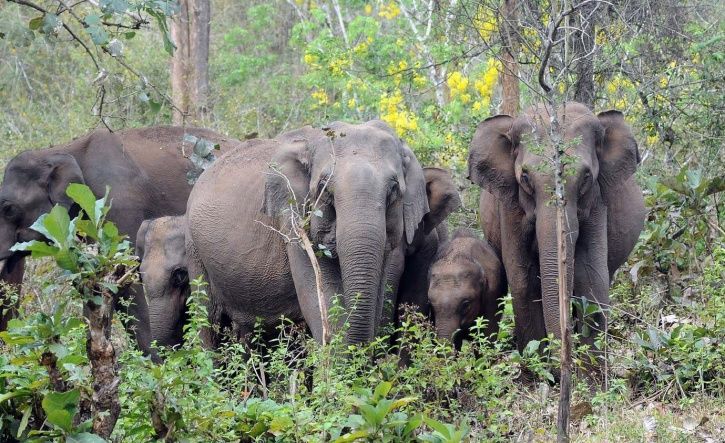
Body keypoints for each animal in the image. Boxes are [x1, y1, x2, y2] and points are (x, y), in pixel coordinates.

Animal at [470, 102, 644, 352]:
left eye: (585, 177)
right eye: (525, 177)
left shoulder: (596, 201)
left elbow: (591, 276)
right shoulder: (510, 207)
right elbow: (523, 279)